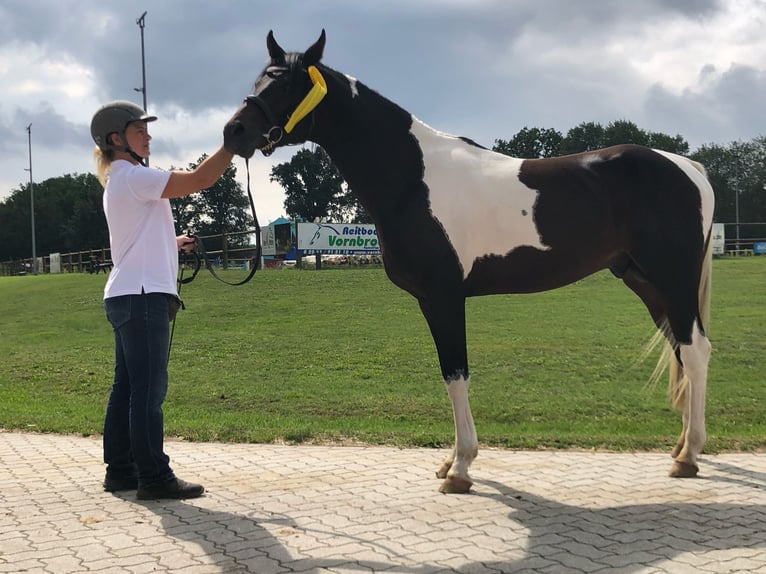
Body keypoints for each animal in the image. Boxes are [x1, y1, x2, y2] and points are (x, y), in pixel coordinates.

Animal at [223, 30, 715, 494]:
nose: (235, 132)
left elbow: (455, 374)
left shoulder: (444, 296)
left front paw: (460, 467)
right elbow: (449, 375)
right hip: (646, 282)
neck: (412, 179)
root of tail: (689, 167)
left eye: (288, 83)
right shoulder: (430, 300)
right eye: (259, 78)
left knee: (695, 351)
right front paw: (450, 462)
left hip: (673, 278)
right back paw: (679, 449)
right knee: (682, 349)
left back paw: (689, 456)